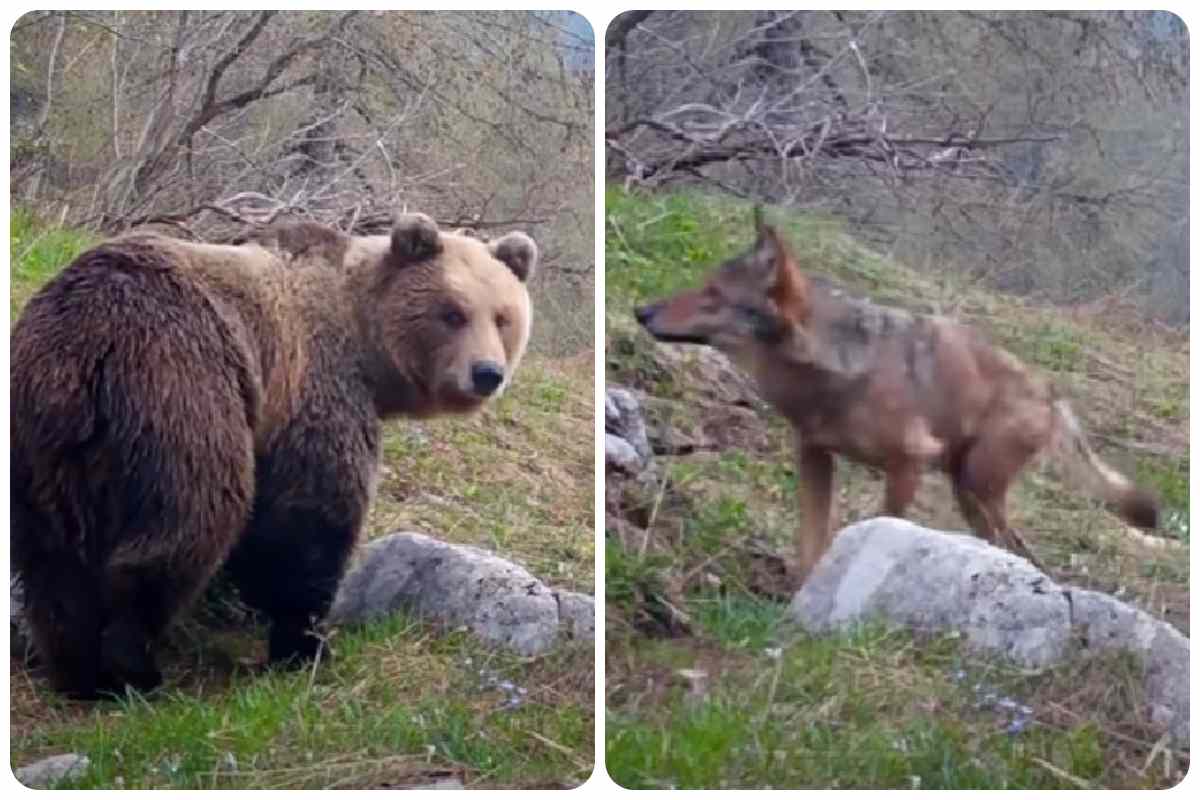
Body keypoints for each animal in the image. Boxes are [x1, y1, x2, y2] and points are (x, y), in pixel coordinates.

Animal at [11, 214, 537, 700]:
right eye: (452, 313)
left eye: (503, 317)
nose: (487, 373)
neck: (367, 346)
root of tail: (81, 347)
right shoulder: (313, 385)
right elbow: (308, 520)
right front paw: (305, 645)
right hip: (178, 386)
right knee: (190, 522)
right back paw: (133, 668)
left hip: (43, 446)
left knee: (54, 560)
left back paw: (79, 671)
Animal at [633, 211, 1156, 587]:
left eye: (713, 294)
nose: (640, 310)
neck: (834, 370)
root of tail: (1051, 393)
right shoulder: (814, 456)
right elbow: (810, 543)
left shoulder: (907, 465)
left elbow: (878, 528)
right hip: (970, 494)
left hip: (977, 488)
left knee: (1019, 551)